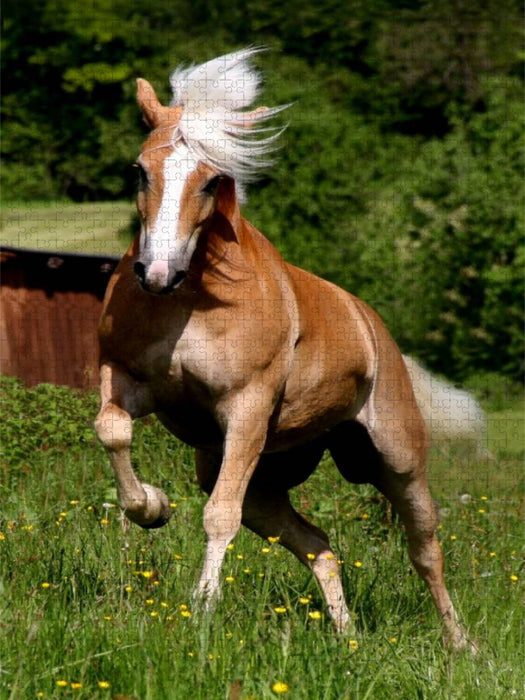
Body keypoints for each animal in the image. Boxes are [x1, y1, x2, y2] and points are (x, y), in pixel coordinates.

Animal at [95, 48, 471, 650]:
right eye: (140, 170)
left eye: (211, 181)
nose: (156, 273)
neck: (195, 299)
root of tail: (372, 326)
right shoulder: (125, 376)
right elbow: (112, 430)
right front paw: (152, 507)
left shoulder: (247, 409)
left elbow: (217, 516)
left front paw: (202, 610)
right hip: (262, 478)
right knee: (318, 544)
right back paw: (346, 636)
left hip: (396, 459)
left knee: (425, 548)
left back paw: (460, 643)